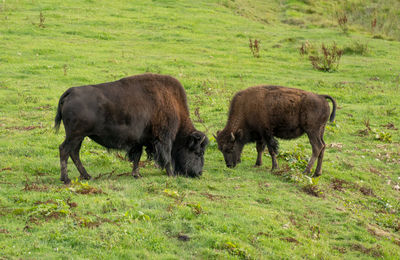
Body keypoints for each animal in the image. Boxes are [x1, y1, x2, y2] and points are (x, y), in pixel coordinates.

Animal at [55, 72, 209, 184]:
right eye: (198, 153)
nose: (199, 173)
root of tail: (71, 92)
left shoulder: (139, 141)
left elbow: (137, 157)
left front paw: (136, 174)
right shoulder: (164, 139)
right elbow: (166, 158)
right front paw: (170, 174)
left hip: (79, 136)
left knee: (74, 153)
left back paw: (87, 176)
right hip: (75, 135)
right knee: (65, 150)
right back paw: (66, 179)